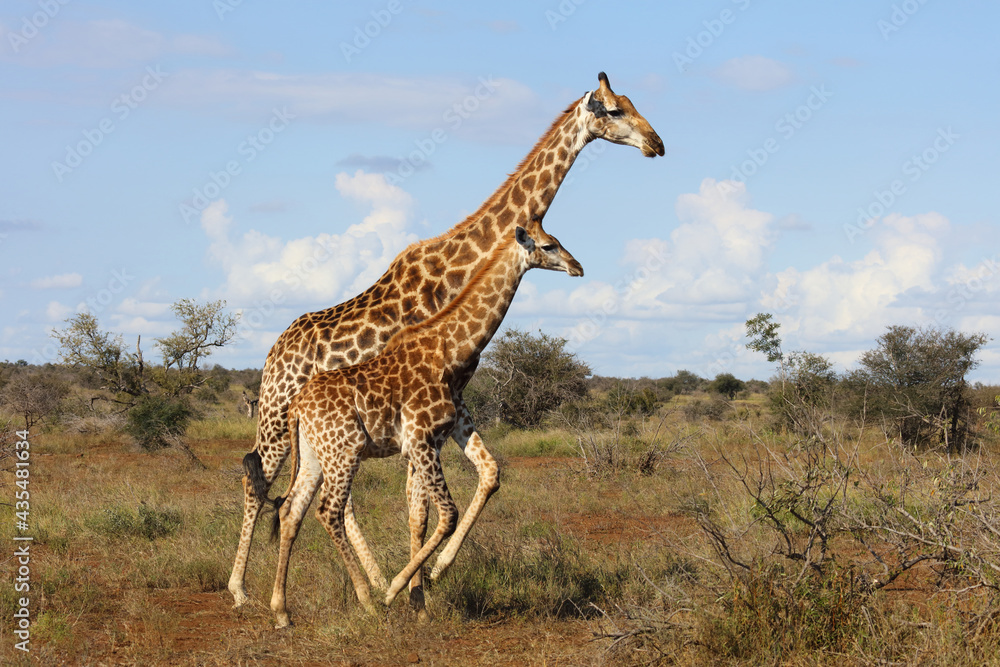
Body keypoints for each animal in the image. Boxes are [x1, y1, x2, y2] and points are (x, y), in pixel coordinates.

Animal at [268, 216, 583, 628]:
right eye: (549, 245)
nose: (577, 267)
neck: (450, 349)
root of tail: (296, 407)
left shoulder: (437, 436)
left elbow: (441, 504)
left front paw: (422, 590)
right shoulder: (420, 438)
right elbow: (446, 514)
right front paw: (398, 589)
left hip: (313, 455)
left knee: (291, 511)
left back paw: (281, 610)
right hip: (345, 450)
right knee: (329, 511)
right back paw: (369, 601)